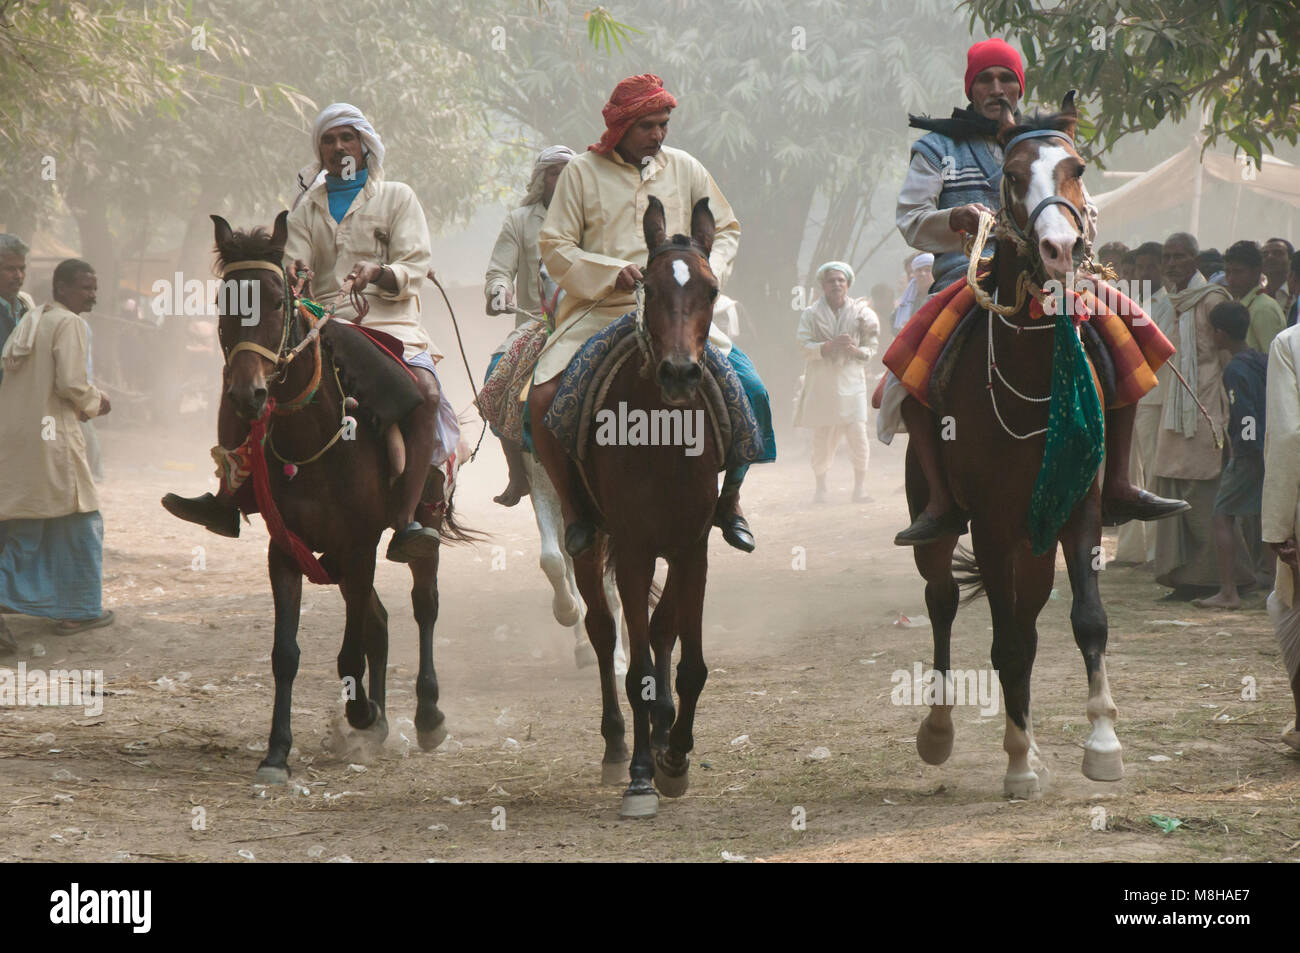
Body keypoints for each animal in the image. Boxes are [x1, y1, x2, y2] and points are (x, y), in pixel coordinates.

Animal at [205, 210, 465, 780]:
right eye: (222, 302)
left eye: (277, 301)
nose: (247, 394)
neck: (314, 437)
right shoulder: (284, 549)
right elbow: (285, 654)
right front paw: (277, 752)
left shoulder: (361, 544)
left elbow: (350, 649)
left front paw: (361, 713)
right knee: (380, 621)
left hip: (422, 519)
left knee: (424, 605)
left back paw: (426, 715)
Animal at [530, 195, 733, 816]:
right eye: (649, 285)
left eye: (711, 290)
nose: (680, 372)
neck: (661, 437)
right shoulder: (637, 548)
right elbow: (638, 664)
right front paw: (644, 773)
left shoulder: (692, 548)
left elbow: (687, 661)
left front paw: (676, 755)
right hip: (590, 540)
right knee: (602, 631)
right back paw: (619, 744)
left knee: (660, 629)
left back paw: (663, 731)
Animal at [904, 96, 1128, 795]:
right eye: (1011, 174)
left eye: (1076, 168)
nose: (1060, 248)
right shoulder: (993, 523)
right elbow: (1002, 642)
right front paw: (1018, 764)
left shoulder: (1078, 508)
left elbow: (1087, 620)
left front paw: (1101, 743)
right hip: (943, 521)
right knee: (943, 599)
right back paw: (941, 732)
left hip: (1037, 537)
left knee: (1026, 622)